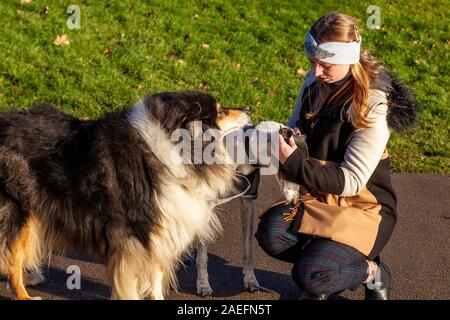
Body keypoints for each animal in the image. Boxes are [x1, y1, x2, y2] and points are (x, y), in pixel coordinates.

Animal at [0, 90, 250, 300]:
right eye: (219, 111)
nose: (248, 108)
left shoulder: (159, 230)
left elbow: (155, 275)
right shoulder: (134, 235)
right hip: (18, 209)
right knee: (11, 255)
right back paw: (23, 294)